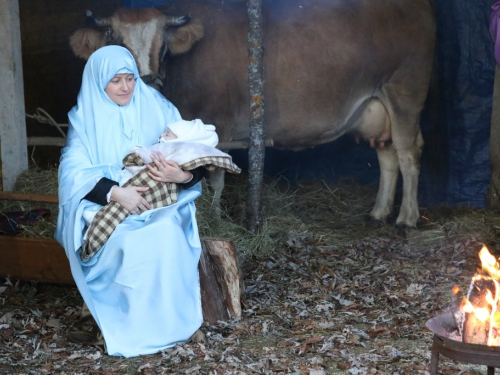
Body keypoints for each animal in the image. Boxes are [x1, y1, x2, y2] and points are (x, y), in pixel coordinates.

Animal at [70, 0, 434, 228]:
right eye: (115, 40)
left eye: (162, 45)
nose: (144, 81)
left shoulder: (216, 125)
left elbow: (215, 179)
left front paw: (215, 219)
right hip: (378, 107)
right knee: (387, 156)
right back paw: (379, 211)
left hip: (405, 89)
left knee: (408, 153)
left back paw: (407, 217)